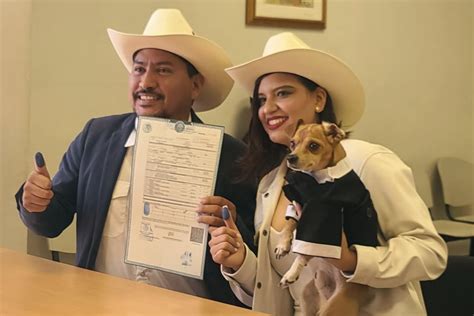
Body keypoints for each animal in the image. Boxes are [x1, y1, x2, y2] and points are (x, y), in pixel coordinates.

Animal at [276, 121, 376, 316]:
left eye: (313, 146)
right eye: (292, 143)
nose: (290, 157)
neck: (317, 180)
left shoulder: (320, 223)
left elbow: (305, 252)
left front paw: (291, 273)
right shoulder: (298, 204)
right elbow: (289, 224)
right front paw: (283, 244)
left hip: (334, 308)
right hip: (307, 297)